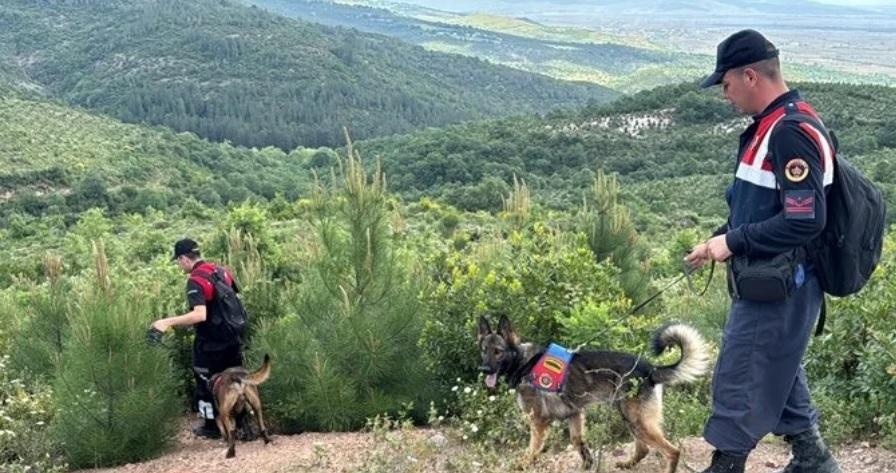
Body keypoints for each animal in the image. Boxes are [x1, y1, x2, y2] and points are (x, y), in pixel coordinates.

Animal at [480, 314, 712, 472]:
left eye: (498, 352)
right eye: (483, 350)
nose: (483, 369)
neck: (523, 363)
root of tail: (649, 368)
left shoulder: (538, 422)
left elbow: (533, 449)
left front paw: (524, 464)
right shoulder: (575, 413)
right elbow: (577, 441)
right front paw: (587, 464)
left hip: (637, 420)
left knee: (672, 451)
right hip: (630, 418)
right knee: (643, 449)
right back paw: (628, 463)